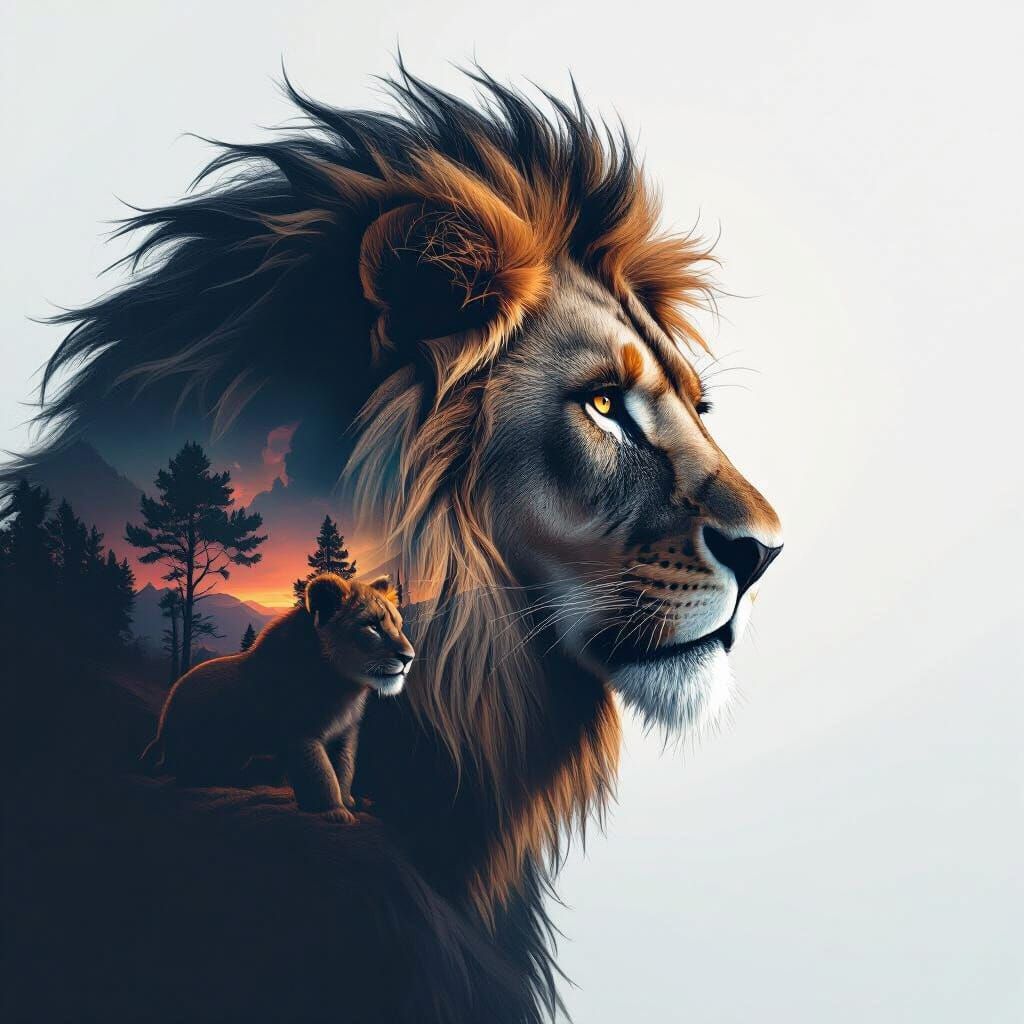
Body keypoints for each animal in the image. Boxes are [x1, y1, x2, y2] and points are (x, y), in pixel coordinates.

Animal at [141, 573, 413, 820]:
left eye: (399, 625)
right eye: (373, 626)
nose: (409, 657)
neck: (343, 687)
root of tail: (164, 715)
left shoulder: (346, 734)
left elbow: (344, 768)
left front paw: (347, 800)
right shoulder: (300, 734)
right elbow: (321, 774)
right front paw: (334, 811)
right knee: (178, 771)